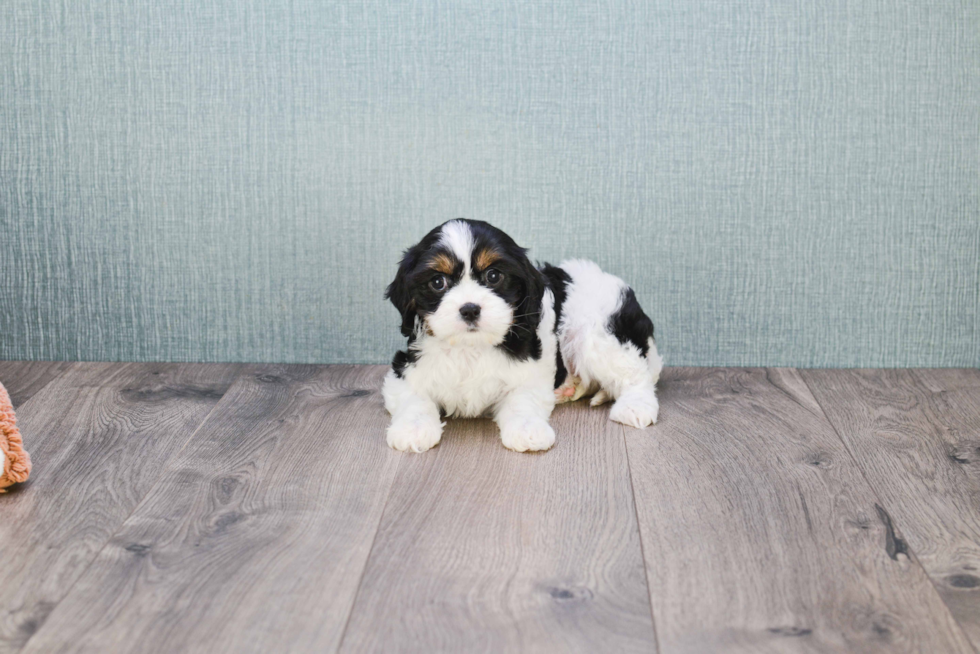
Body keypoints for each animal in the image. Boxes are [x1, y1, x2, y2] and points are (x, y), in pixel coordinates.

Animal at [378, 218, 664, 454]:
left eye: (494, 276)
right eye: (438, 282)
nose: (469, 308)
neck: (471, 346)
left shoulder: (530, 373)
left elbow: (522, 400)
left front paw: (528, 430)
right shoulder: (405, 370)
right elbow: (413, 398)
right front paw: (413, 429)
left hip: (597, 331)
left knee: (633, 373)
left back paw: (635, 406)